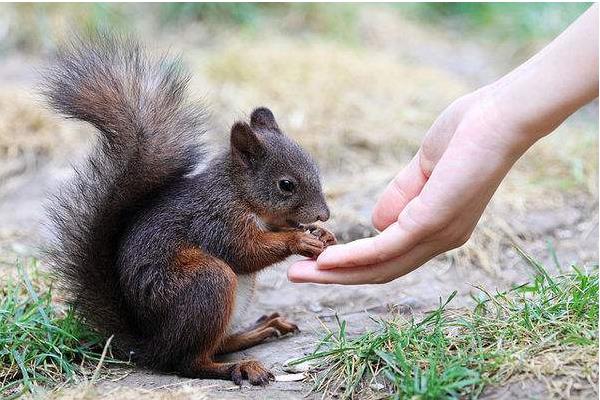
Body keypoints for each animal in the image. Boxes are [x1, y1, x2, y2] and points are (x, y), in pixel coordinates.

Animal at [44, 33, 336, 384]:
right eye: (286, 185)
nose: (323, 214)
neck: (238, 193)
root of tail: (150, 346)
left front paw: (323, 235)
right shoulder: (216, 220)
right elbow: (245, 251)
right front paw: (300, 240)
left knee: (217, 344)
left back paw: (261, 329)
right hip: (208, 283)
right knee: (189, 362)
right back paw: (239, 366)